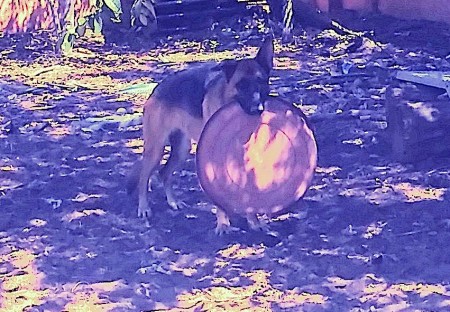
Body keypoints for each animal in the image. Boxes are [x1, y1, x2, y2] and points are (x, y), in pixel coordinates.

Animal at [128, 36, 272, 233]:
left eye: (261, 81)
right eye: (241, 85)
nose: (257, 108)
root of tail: (158, 88)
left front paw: (253, 220)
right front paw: (223, 224)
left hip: (182, 150)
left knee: (164, 173)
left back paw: (173, 202)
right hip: (155, 149)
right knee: (144, 177)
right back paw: (144, 208)